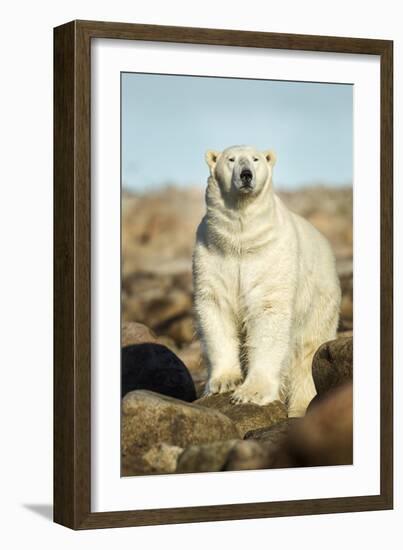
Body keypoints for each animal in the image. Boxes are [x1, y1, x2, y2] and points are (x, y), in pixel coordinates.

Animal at [193, 147, 340, 418]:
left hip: (320, 300)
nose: (246, 174)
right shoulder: (211, 255)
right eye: (231, 159)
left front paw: (251, 393)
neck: (241, 239)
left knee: (307, 352)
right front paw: (224, 382)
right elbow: (216, 308)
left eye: (255, 159)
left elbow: (267, 312)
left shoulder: (271, 257)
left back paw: (300, 407)